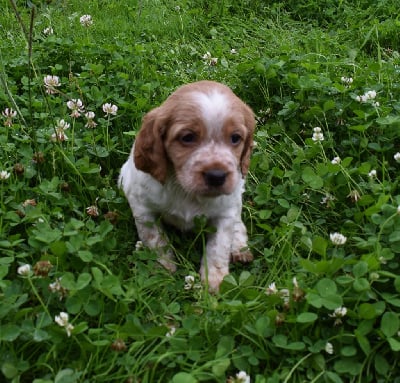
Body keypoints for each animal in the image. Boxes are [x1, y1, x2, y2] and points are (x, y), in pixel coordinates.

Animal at [119, 81, 256, 292]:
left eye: (235, 138)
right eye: (188, 137)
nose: (217, 176)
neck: (185, 191)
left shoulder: (225, 213)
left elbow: (218, 247)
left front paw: (214, 281)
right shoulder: (142, 206)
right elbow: (155, 239)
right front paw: (164, 268)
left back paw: (240, 247)